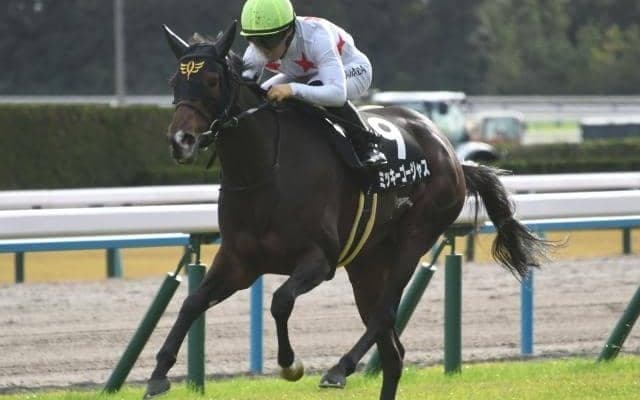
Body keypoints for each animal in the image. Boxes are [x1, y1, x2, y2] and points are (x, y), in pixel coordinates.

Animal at [144, 21, 550, 400]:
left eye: (212, 80)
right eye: (174, 81)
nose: (181, 141)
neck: (266, 169)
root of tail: (452, 155)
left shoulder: (319, 260)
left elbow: (280, 300)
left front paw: (291, 363)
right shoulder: (240, 261)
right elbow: (191, 303)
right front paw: (159, 373)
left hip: (416, 235)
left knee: (385, 314)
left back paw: (340, 367)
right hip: (366, 263)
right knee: (393, 352)